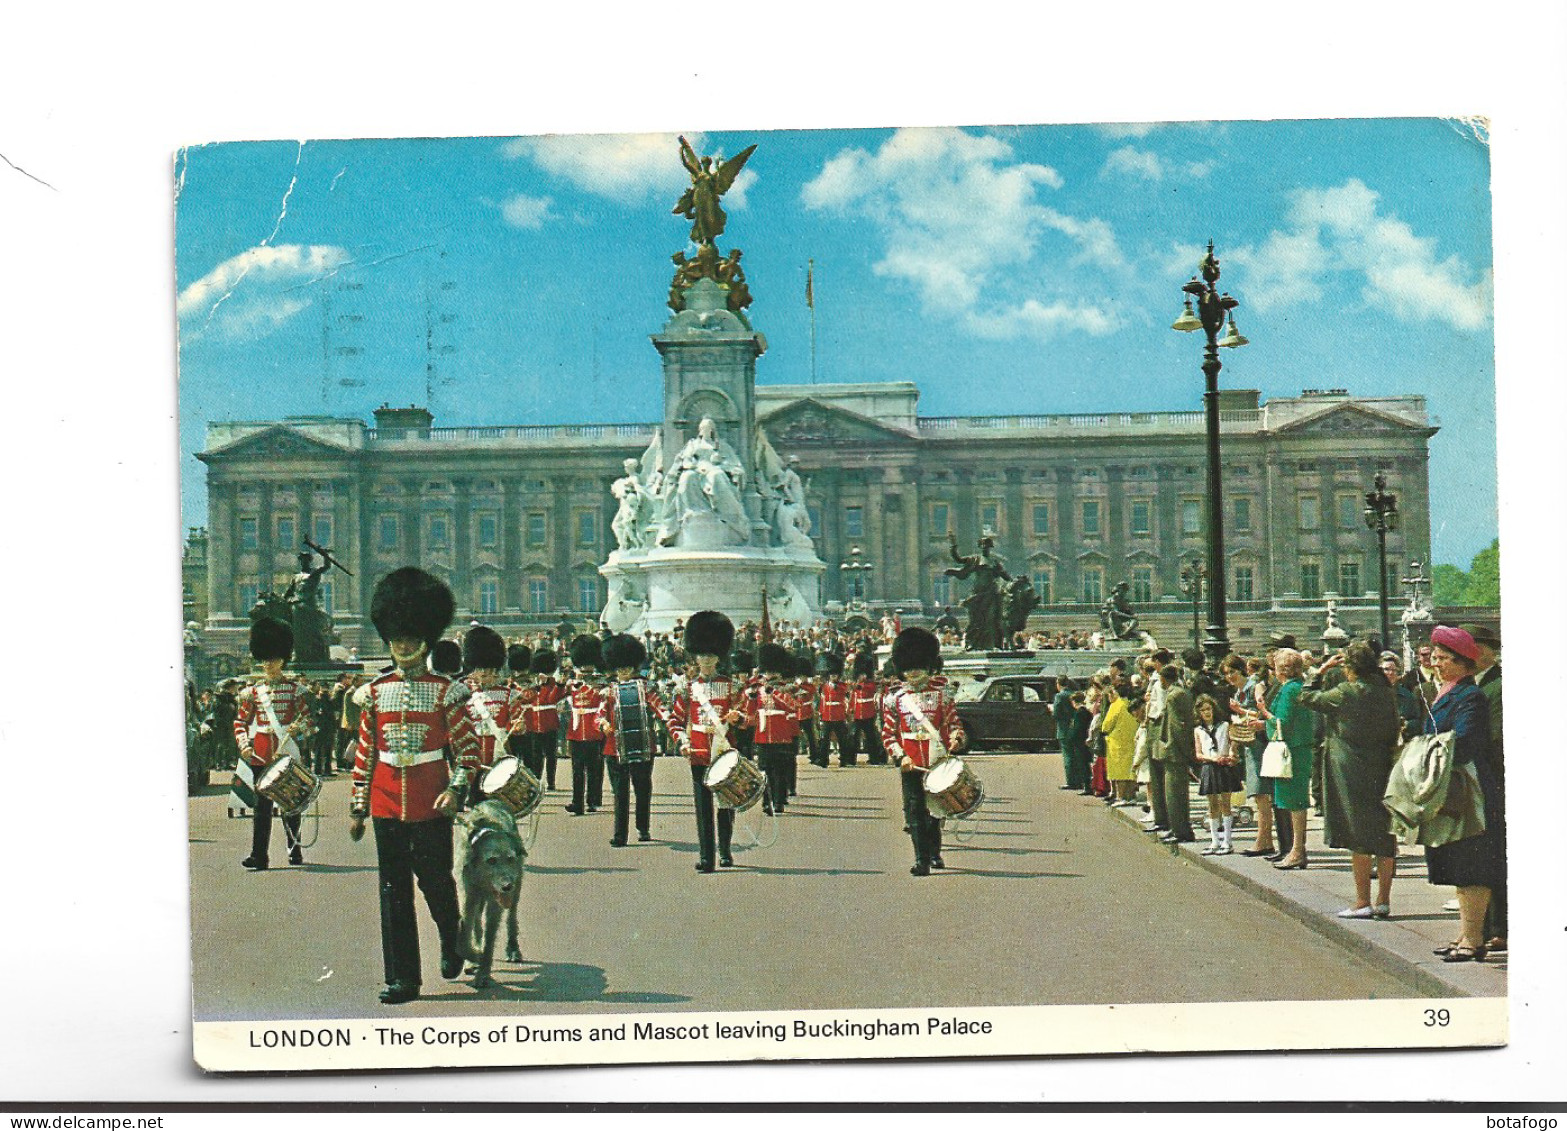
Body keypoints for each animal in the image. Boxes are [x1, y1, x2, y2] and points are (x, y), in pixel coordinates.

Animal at [457, 792, 523, 990]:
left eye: (510, 859)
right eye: (491, 860)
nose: (507, 886)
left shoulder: (497, 902)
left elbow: (490, 936)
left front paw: (483, 971)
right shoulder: (469, 894)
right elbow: (464, 936)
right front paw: (473, 956)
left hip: (517, 888)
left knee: (511, 917)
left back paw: (513, 948)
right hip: (479, 897)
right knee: (477, 923)